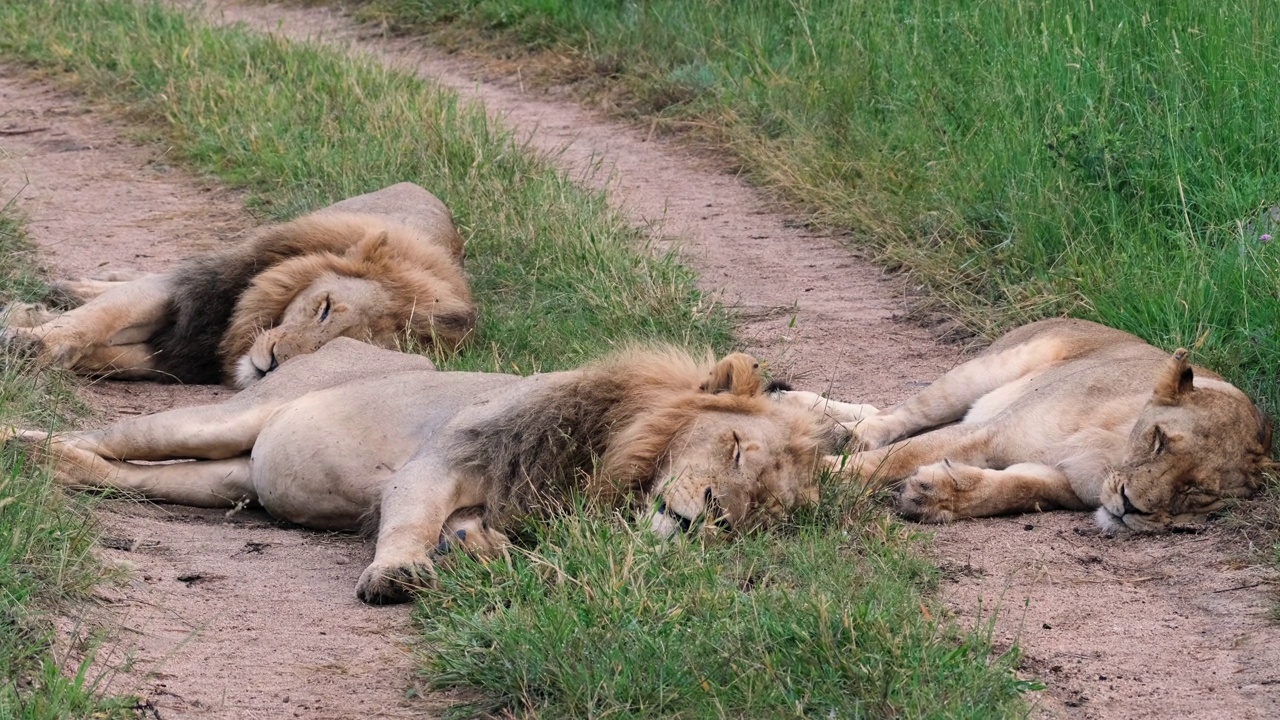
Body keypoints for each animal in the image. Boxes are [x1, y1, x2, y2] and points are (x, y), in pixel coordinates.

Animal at [0, 183, 476, 386]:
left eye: (343, 350)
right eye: (323, 307)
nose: (273, 364)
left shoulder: (183, 357)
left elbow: (110, 358)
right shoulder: (198, 290)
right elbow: (102, 316)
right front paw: (28, 338)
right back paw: (61, 291)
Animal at [12, 338, 849, 602]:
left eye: (759, 509)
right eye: (735, 449)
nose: (711, 512)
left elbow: (478, 537)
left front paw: (476, 553)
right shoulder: (442, 459)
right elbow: (410, 518)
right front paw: (396, 574)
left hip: (232, 478)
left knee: (123, 473)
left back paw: (51, 466)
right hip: (225, 419)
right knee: (115, 434)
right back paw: (19, 445)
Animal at [803, 316, 1274, 530]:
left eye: (1197, 492)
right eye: (1159, 441)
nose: (1131, 507)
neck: (1110, 454)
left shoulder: (1062, 483)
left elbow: (1015, 490)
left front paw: (936, 495)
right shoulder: (989, 432)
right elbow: (898, 456)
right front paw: (817, 474)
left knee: (876, 409)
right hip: (982, 371)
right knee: (898, 415)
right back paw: (843, 432)